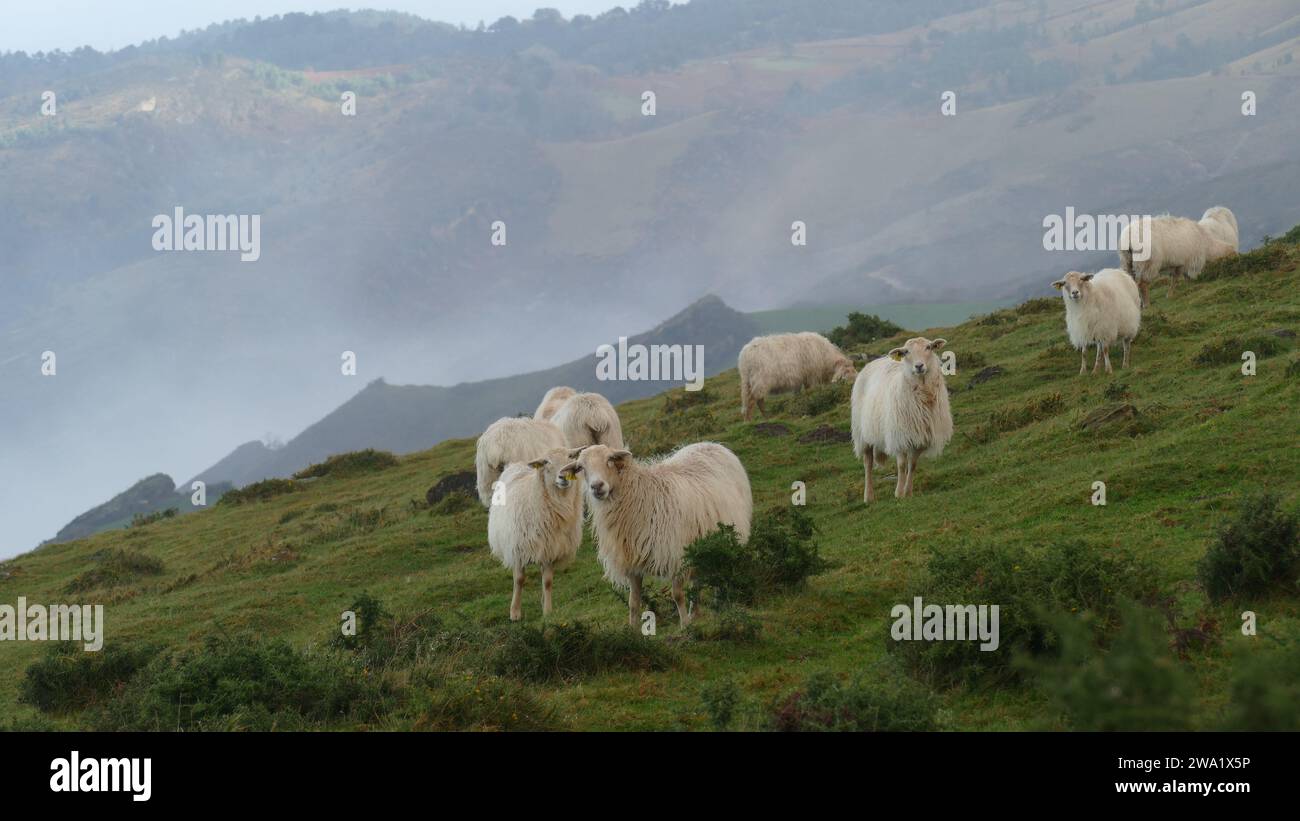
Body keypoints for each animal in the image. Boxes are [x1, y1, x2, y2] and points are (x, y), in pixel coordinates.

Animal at [487, 447, 585, 621]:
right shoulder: (518, 549)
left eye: (570, 457)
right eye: (546, 462)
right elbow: (519, 580)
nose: (563, 476)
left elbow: (547, 581)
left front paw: (547, 611)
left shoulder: (550, 549)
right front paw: (515, 613)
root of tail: (518, 463)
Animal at [558, 442, 752, 627]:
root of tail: (714, 445)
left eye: (610, 460)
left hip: (726, 539)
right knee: (697, 580)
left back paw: (719, 605)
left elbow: (677, 595)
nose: (597, 486)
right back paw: (695, 612)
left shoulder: (676, 556)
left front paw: (685, 627)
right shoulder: (632, 561)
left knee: (718, 572)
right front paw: (633, 630)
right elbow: (634, 602)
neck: (642, 497)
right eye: (581, 467)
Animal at [850, 337, 953, 504]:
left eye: (929, 347)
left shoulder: (920, 436)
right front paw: (899, 493)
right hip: (861, 433)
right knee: (868, 463)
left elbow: (912, 465)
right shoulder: (899, 435)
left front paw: (908, 492)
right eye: (906, 352)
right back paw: (868, 496)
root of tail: (877, 360)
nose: (919, 366)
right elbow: (901, 465)